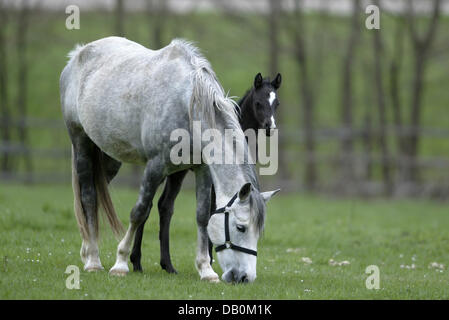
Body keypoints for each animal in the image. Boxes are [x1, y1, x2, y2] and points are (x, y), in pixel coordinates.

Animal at [128, 72, 282, 272]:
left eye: (276, 103)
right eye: (258, 103)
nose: (270, 127)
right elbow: (211, 212)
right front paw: (209, 259)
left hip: (177, 174)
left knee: (165, 206)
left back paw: (167, 265)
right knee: (148, 206)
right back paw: (136, 261)